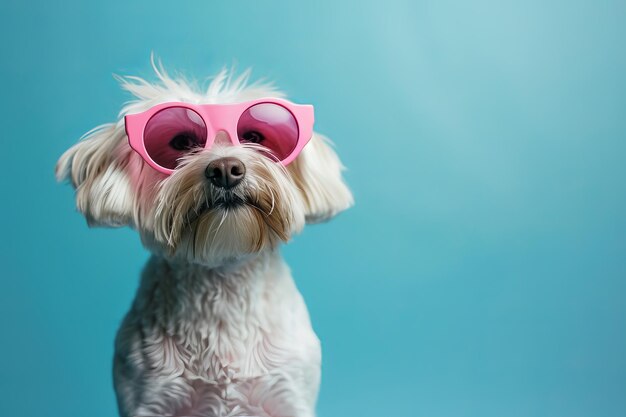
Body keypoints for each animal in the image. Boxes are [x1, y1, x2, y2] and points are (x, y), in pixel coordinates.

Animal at [54, 61, 352, 416]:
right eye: (182, 141)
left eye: (254, 136)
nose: (225, 169)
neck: (222, 276)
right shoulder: (149, 397)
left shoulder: (287, 395)